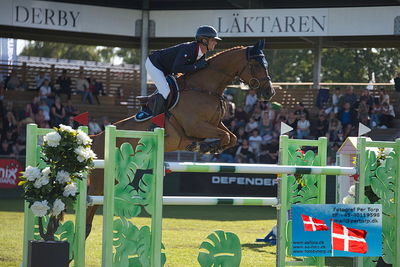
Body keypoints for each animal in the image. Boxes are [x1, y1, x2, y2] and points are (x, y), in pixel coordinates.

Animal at [86, 40, 276, 237]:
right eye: (256, 65)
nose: (269, 93)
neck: (204, 89)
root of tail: (96, 137)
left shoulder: (215, 124)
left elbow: (232, 137)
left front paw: (209, 147)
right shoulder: (196, 126)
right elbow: (225, 136)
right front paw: (204, 147)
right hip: (101, 180)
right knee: (90, 205)